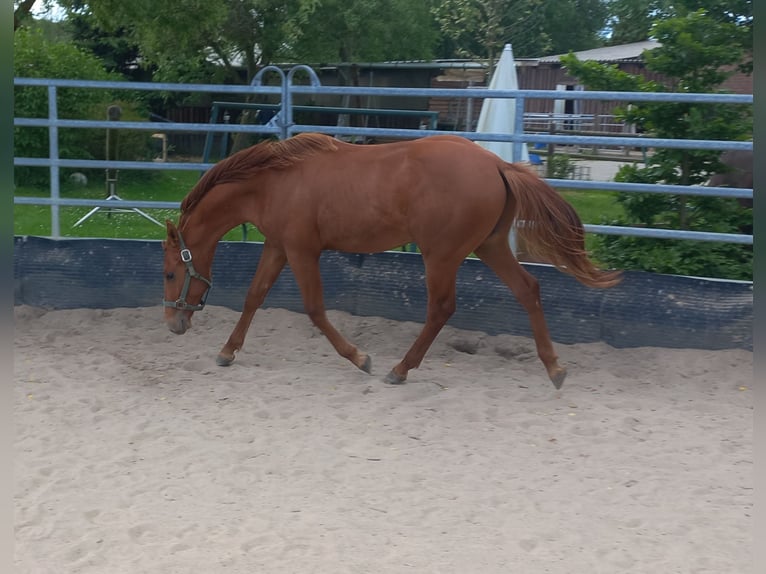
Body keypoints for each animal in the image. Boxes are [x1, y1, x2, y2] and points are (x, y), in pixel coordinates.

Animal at [164, 133, 624, 390]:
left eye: (169, 272)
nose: (173, 324)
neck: (276, 182)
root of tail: (497, 164)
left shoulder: (301, 250)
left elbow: (314, 309)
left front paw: (360, 358)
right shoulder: (277, 247)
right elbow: (254, 296)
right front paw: (226, 352)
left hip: (440, 254)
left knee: (441, 308)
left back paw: (400, 370)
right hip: (490, 246)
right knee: (528, 290)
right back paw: (555, 369)